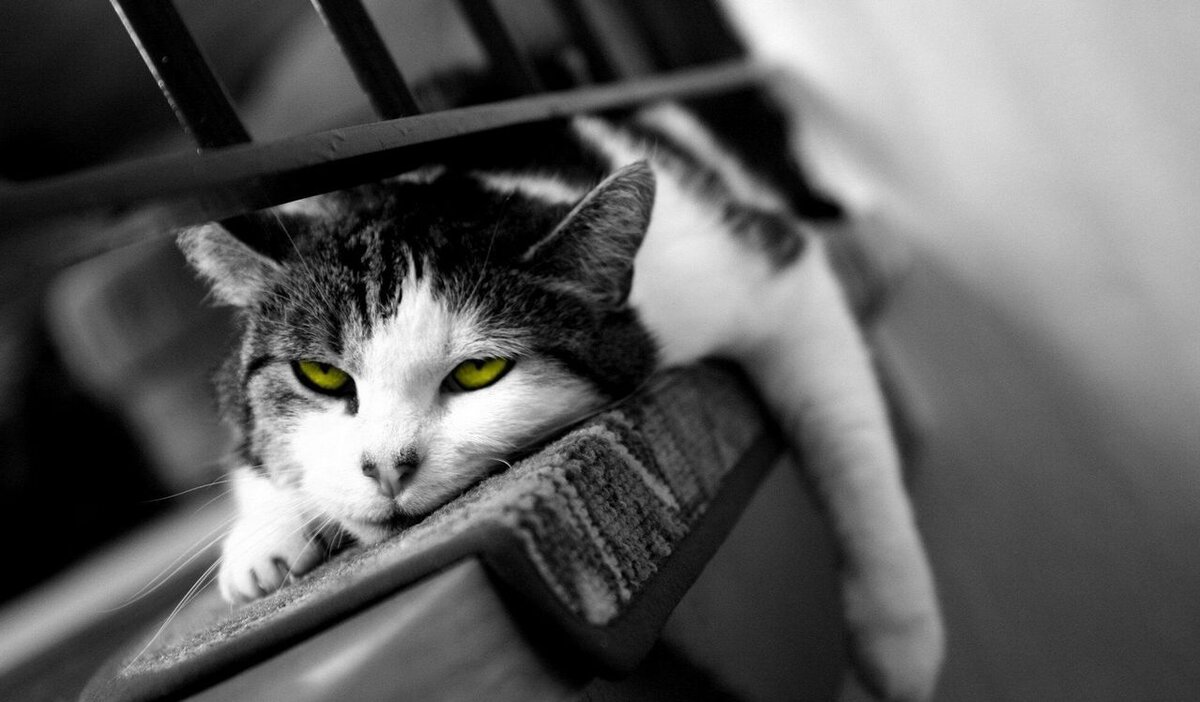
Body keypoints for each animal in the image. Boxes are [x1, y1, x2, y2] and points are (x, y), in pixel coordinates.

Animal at [179, 100, 943, 701]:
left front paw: (898, 640)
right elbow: (249, 455)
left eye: (479, 371)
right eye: (323, 376)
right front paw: (262, 544)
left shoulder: (767, 271)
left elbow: (848, 446)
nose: (385, 467)